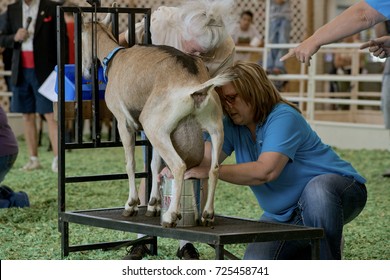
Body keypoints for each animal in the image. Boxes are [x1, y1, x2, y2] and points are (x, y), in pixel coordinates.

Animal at [81, 13, 235, 228]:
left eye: (80, 38)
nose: (86, 72)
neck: (115, 58)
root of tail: (197, 87)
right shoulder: (150, 134)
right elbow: (154, 164)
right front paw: (153, 204)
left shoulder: (123, 122)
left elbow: (130, 163)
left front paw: (131, 204)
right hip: (214, 127)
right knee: (214, 169)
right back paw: (207, 215)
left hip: (155, 127)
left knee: (178, 165)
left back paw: (171, 216)